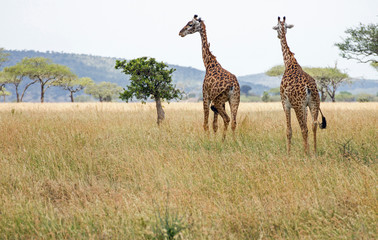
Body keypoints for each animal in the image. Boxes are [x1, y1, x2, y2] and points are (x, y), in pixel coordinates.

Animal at [272, 17, 328, 156]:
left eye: (276, 27)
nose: (278, 35)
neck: (289, 62)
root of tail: (309, 88)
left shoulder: (285, 104)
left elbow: (289, 130)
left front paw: (288, 153)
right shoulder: (306, 106)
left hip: (298, 105)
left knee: (304, 128)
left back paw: (306, 154)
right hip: (314, 103)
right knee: (313, 125)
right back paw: (314, 151)